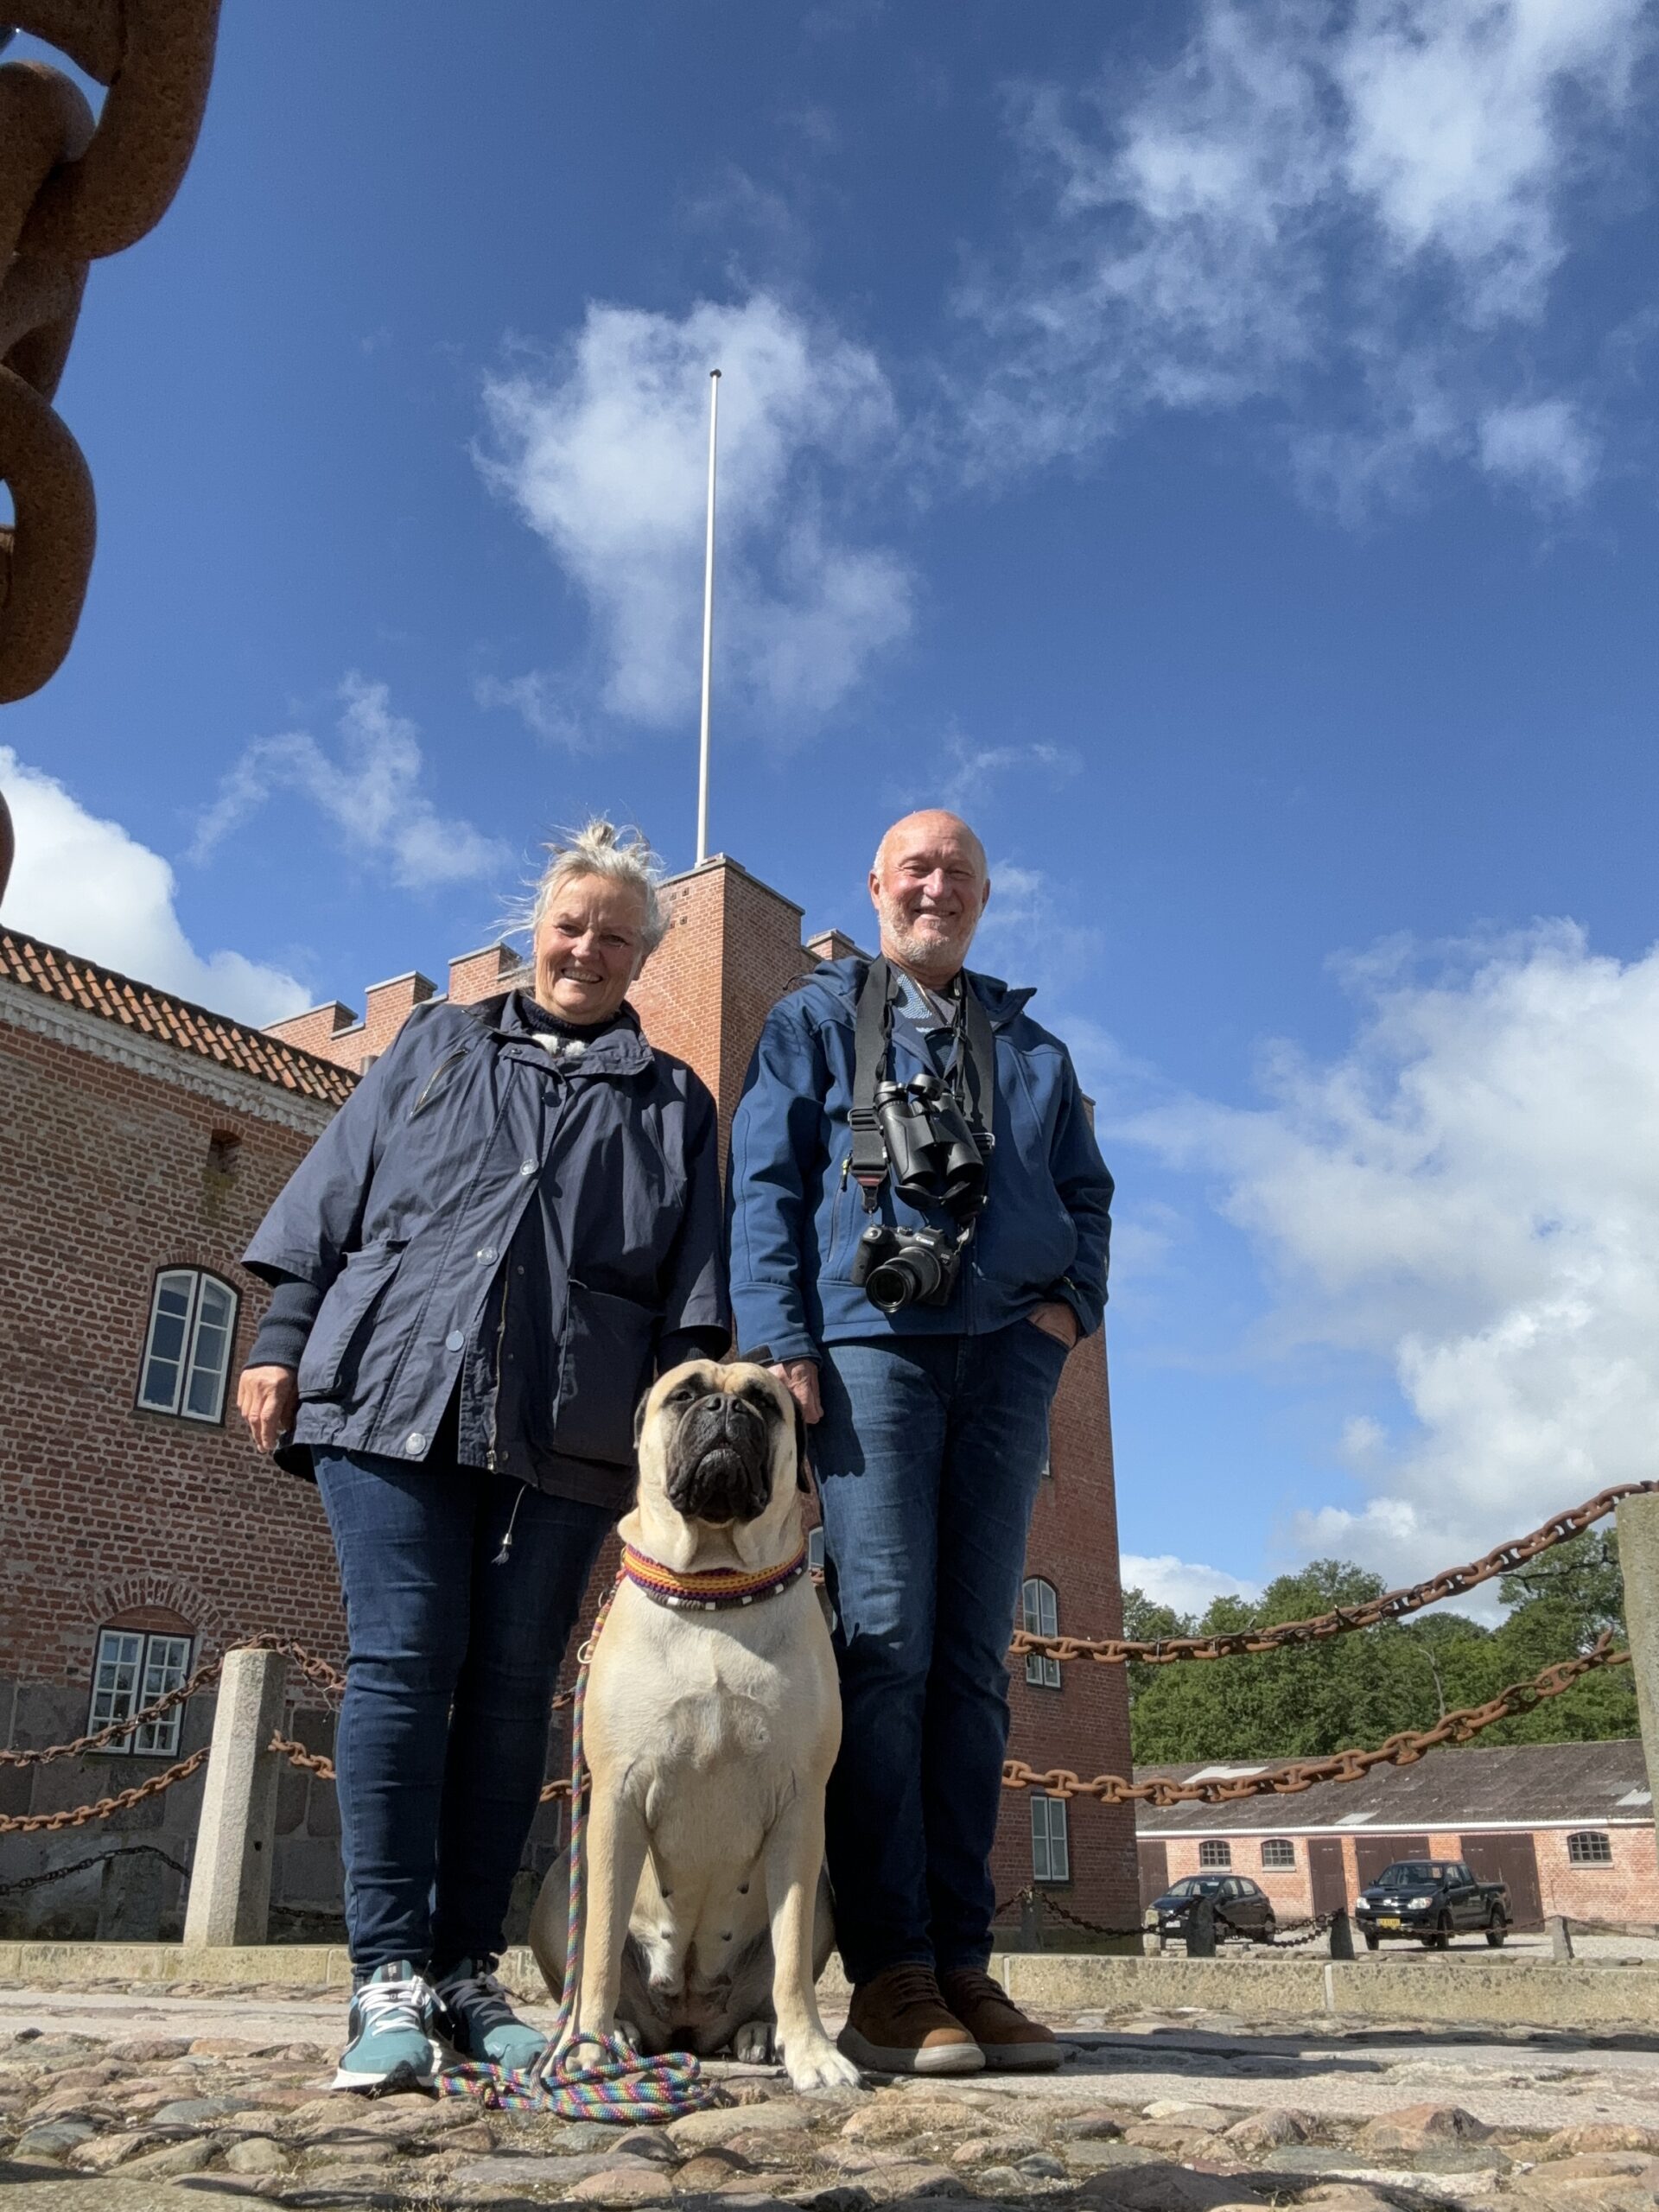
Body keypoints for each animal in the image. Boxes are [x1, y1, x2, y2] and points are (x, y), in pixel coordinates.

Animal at [535, 1353, 871, 2096]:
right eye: (684, 1394)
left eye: (764, 1402)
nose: (724, 1410)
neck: (715, 1590)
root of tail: (686, 2022)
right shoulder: (616, 1802)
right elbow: (597, 1945)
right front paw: (585, 2048)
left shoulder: (801, 1809)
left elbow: (791, 1952)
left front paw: (814, 2051)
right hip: (558, 1880)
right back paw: (618, 2032)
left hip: (825, 1902)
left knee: (770, 1979)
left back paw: (762, 2034)